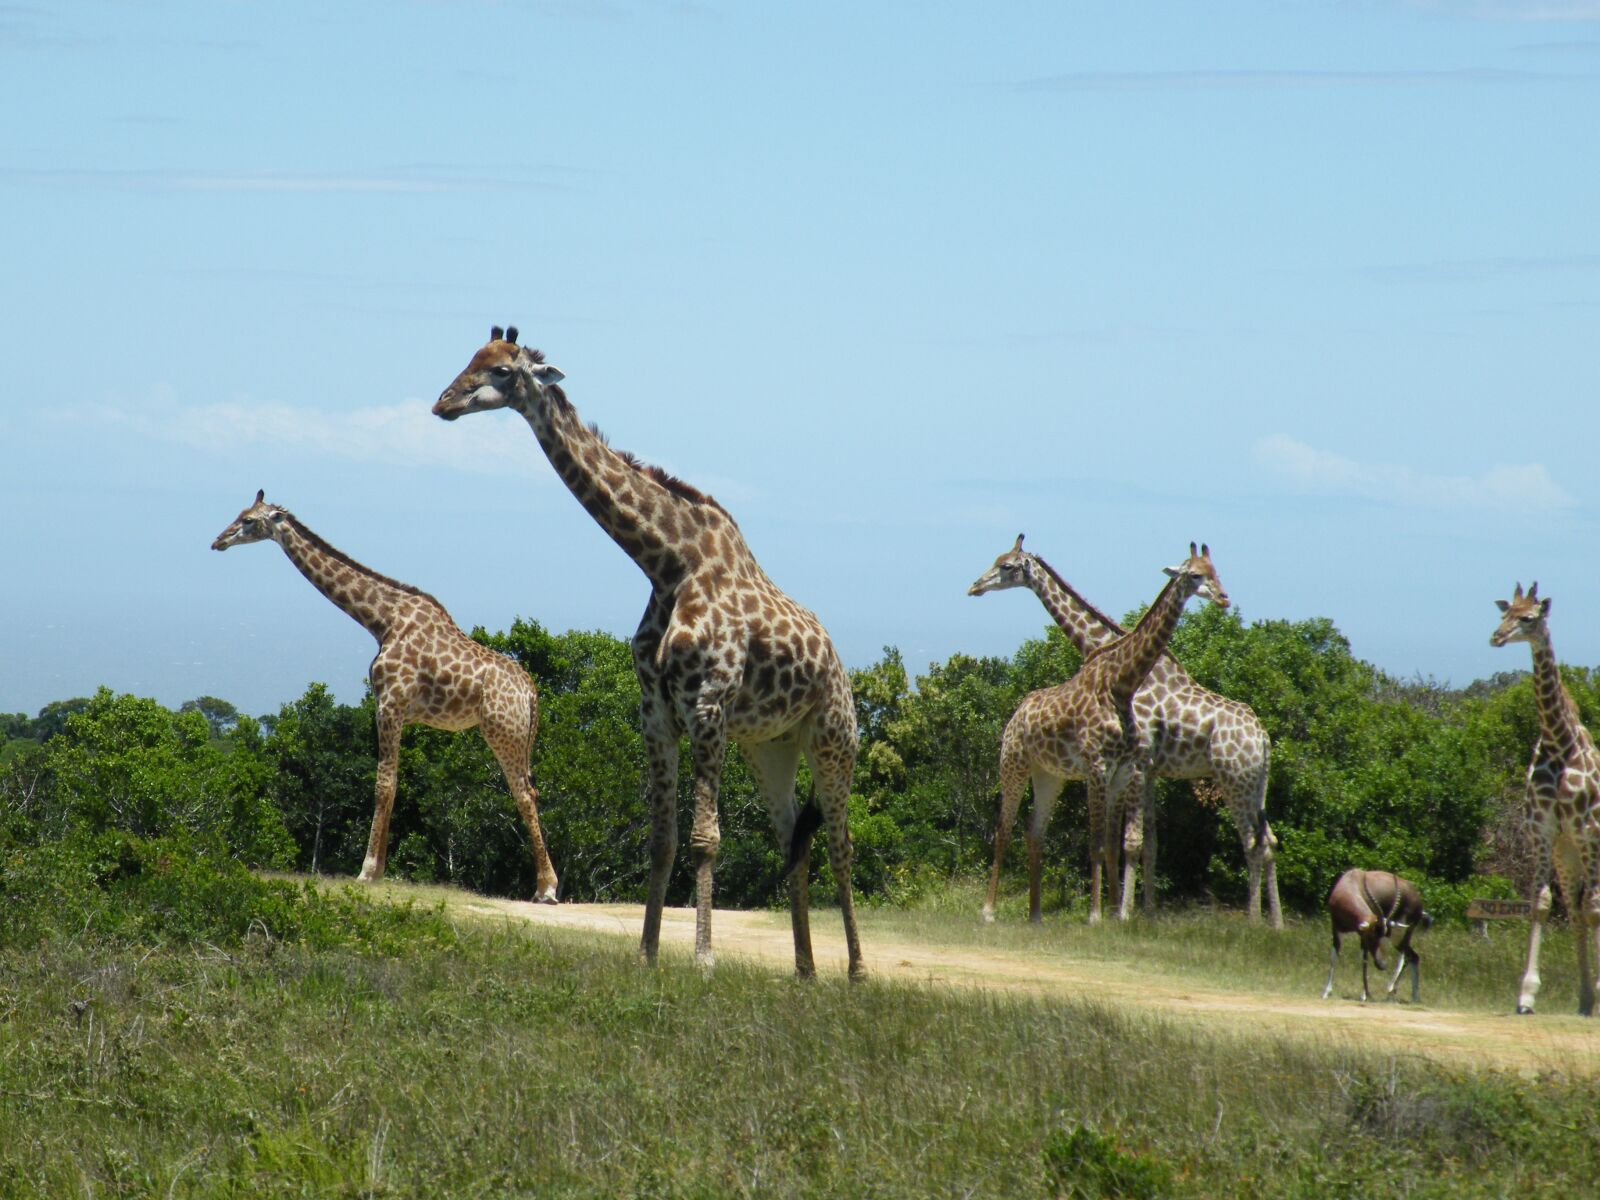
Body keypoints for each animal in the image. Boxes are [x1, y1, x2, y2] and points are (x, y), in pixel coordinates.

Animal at [211, 489, 563, 902]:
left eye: (249, 521)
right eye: (240, 513)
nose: (218, 541)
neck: (381, 620)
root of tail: (531, 692)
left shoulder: (389, 704)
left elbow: (384, 784)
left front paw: (367, 872)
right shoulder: (395, 709)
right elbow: (391, 785)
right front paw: (377, 870)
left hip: (502, 731)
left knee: (524, 794)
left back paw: (547, 888)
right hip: (517, 736)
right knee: (530, 791)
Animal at [432, 326, 864, 979]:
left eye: (503, 371)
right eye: (470, 359)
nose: (444, 403)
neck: (668, 564)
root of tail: (840, 665)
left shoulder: (708, 706)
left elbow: (706, 839)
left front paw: (703, 958)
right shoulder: (656, 712)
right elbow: (662, 839)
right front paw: (647, 952)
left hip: (833, 737)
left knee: (840, 841)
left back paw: (857, 971)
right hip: (772, 746)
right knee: (795, 838)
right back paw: (806, 970)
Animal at [960, 537, 1286, 928]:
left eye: (1006, 566)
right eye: (1198, 574)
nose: (974, 586)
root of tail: (1263, 738)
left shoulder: (1135, 767)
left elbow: (1127, 841)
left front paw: (1123, 912)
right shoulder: (1140, 771)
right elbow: (1141, 842)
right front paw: (1135, 912)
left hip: (1236, 779)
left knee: (1254, 842)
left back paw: (1258, 921)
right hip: (1251, 783)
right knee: (1267, 841)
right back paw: (1273, 922)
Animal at [1318, 876, 1433, 1004]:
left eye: (1381, 936)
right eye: (1373, 936)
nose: (1381, 965)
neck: (1350, 882)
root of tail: (1419, 904)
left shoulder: (1363, 937)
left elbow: (1363, 961)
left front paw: (1364, 995)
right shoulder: (1338, 929)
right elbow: (1335, 957)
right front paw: (1325, 992)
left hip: (1399, 935)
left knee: (1405, 956)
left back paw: (1391, 990)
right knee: (1413, 957)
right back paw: (1414, 997)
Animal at [1484, 582, 1600, 1017]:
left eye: (1529, 618)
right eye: (1504, 613)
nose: (1496, 637)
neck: (1558, 742)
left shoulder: (1586, 831)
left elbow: (1595, 907)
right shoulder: (1544, 831)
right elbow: (1542, 903)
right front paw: (1526, 995)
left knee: (1590, 907)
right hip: (1567, 855)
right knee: (1576, 909)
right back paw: (1585, 1001)